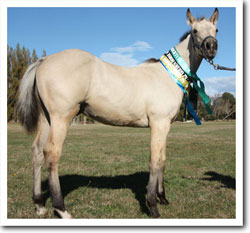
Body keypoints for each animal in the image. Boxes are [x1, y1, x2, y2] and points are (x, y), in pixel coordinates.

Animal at [17, 7, 218, 218]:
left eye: (216, 30)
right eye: (195, 31)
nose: (211, 47)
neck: (169, 74)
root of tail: (44, 60)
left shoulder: (165, 127)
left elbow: (162, 160)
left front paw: (162, 198)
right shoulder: (159, 124)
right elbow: (154, 161)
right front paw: (152, 206)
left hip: (46, 119)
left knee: (37, 152)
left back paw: (39, 205)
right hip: (61, 118)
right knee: (51, 154)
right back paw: (61, 209)